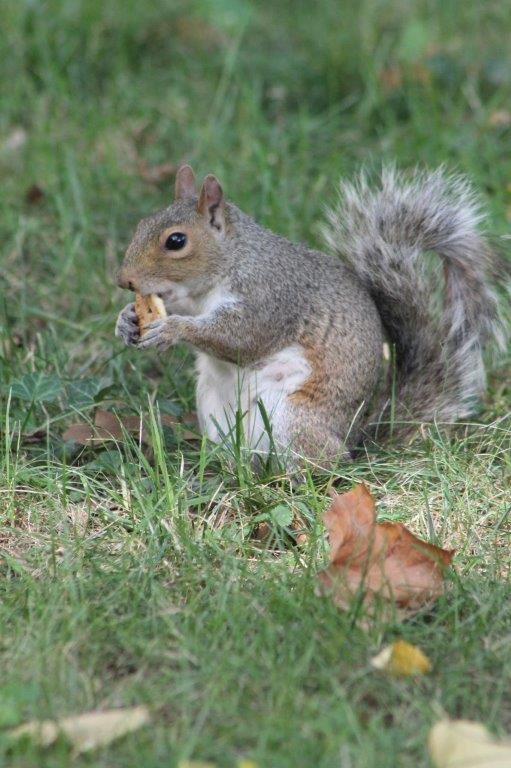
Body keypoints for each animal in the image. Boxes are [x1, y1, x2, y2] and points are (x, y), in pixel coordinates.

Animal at [117, 162, 508, 468]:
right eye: (140, 225)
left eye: (176, 241)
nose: (124, 281)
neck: (230, 262)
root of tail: (353, 438)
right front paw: (127, 320)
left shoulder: (271, 298)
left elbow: (241, 338)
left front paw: (171, 329)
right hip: (214, 408)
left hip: (295, 418)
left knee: (324, 464)